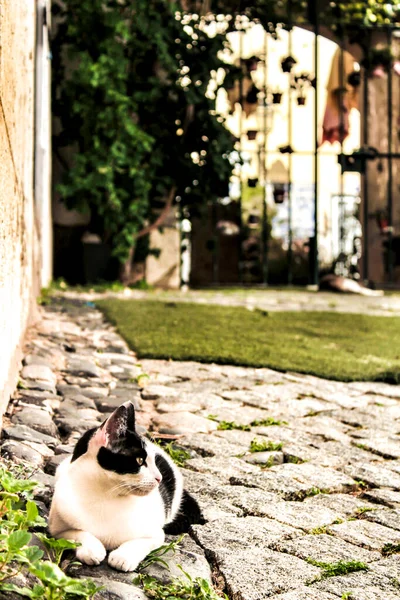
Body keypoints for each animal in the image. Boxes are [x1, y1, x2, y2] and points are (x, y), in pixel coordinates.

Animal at [48, 400, 203, 568]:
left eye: (154, 462)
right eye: (140, 461)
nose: (159, 478)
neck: (106, 497)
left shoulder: (156, 534)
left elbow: (139, 543)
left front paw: (123, 557)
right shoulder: (56, 530)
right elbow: (78, 534)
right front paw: (92, 549)